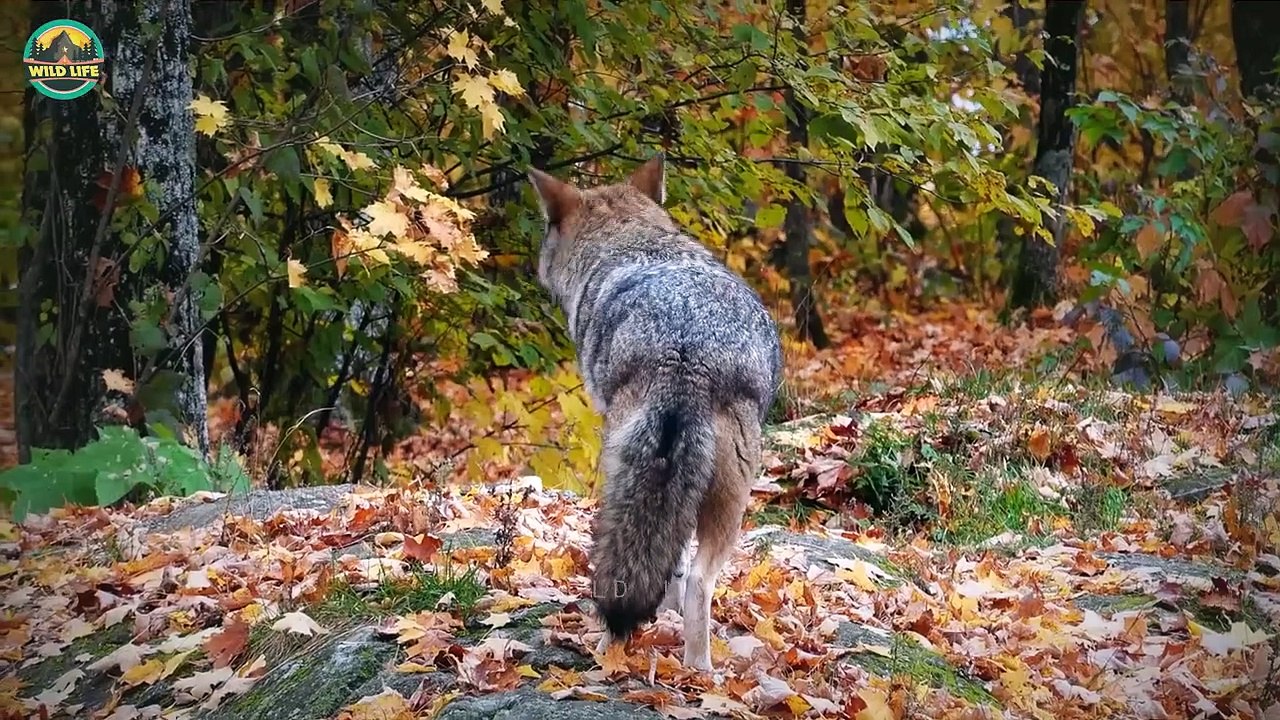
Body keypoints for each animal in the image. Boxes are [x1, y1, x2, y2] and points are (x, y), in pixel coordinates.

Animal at [527, 154, 783, 671]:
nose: (535, 265)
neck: (636, 245)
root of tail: (686, 352)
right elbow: (674, 561)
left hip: (621, 471)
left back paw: (608, 656)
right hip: (728, 496)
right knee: (699, 582)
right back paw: (700, 672)